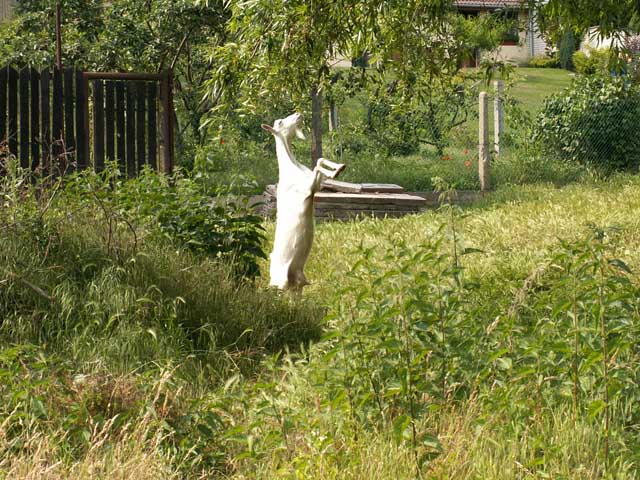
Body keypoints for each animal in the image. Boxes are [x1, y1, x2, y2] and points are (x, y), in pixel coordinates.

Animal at [262, 113, 344, 292]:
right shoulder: (307, 189)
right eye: (280, 122)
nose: (298, 114)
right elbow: (317, 167)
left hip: (297, 283)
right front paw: (336, 171)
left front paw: (339, 167)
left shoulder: (315, 186)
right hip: (281, 284)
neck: (292, 169)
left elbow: (319, 160)